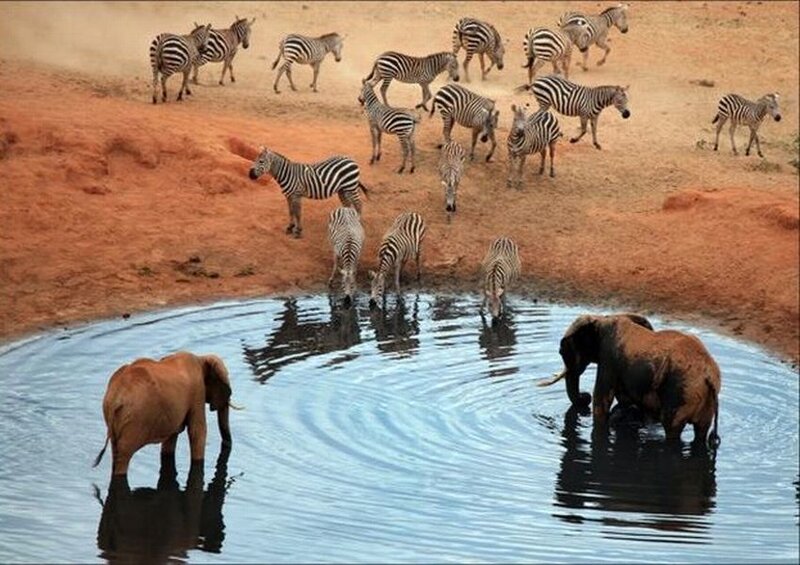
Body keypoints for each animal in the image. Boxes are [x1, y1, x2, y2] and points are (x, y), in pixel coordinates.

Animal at [94, 352, 238, 476]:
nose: (227, 447)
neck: (200, 358)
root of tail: (116, 397)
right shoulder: (197, 391)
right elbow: (197, 432)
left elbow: (171, 439)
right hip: (133, 420)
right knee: (124, 456)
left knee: (116, 451)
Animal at [539, 313, 721, 446]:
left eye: (562, 352)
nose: (584, 397)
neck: (602, 319)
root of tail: (709, 377)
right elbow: (624, 402)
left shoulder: (609, 359)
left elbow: (601, 402)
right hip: (702, 400)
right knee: (700, 433)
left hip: (680, 393)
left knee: (672, 430)